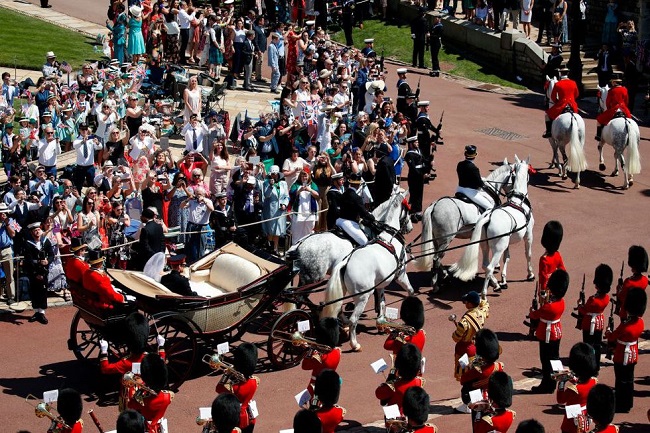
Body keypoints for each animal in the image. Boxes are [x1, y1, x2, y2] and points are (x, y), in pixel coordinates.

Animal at [318, 189, 410, 352]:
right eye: (408, 209)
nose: (411, 226)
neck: (390, 236)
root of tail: (346, 262)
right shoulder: (401, 275)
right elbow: (411, 290)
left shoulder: (381, 284)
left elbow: (382, 302)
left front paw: (381, 322)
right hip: (362, 297)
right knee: (353, 319)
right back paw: (354, 344)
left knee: (339, 310)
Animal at [416, 160, 516, 292]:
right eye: (514, 177)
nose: (513, 195)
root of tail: (434, 205)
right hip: (446, 239)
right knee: (436, 258)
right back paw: (436, 285)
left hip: (437, 239)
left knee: (436, 257)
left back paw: (445, 278)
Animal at [448, 156, 536, 296]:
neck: (518, 201)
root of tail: (488, 218)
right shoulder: (528, 235)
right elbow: (528, 254)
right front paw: (530, 274)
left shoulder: (507, 242)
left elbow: (507, 257)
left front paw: (503, 279)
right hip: (498, 247)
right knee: (489, 267)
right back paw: (485, 293)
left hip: (485, 245)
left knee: (485, 264)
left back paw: (495, 284)